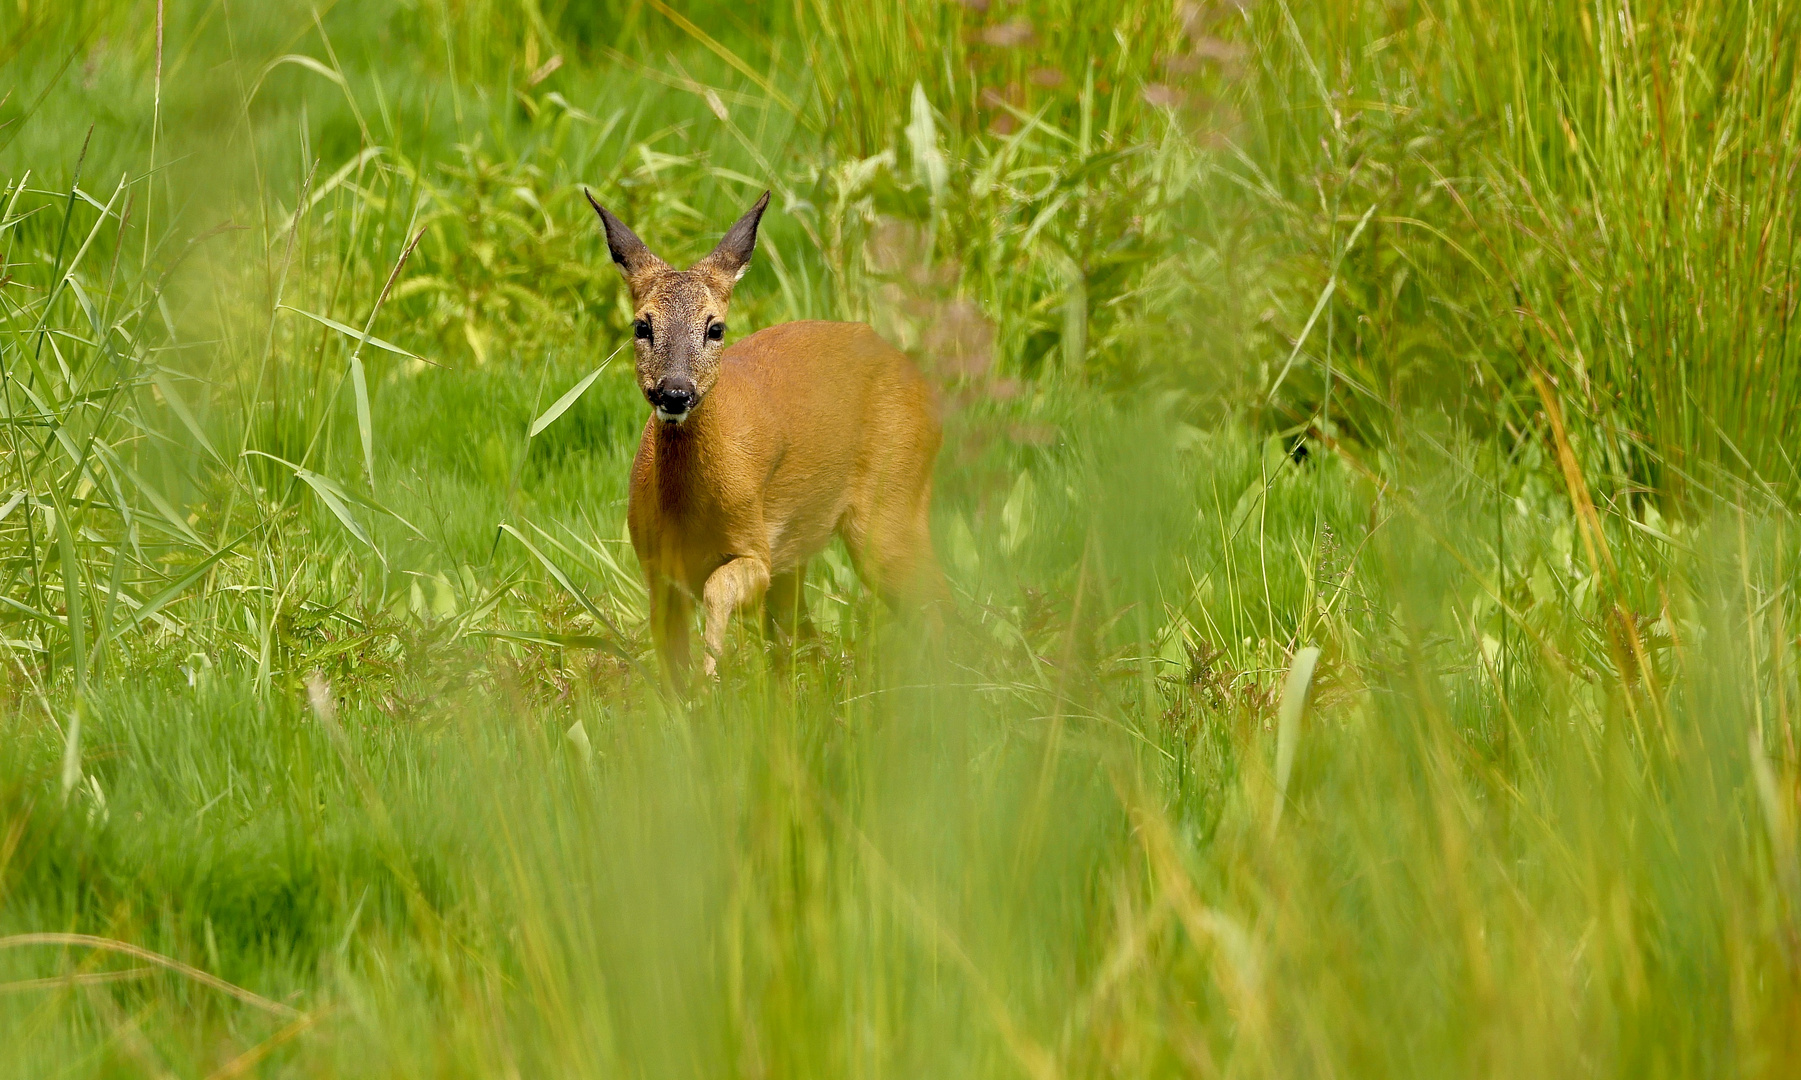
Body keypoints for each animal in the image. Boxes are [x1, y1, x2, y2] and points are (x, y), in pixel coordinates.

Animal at [587, 189, 958, 687]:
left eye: (715, 327)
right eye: (641, 326)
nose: (675, 391)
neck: (687, 516)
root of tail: (920, 379)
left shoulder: (756, 546)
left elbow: (718, 588)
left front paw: (714, 667)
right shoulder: (657, 574)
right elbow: (671, 673)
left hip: (892, 499)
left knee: (938, 605)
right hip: (806, 551)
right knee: (811, 640)